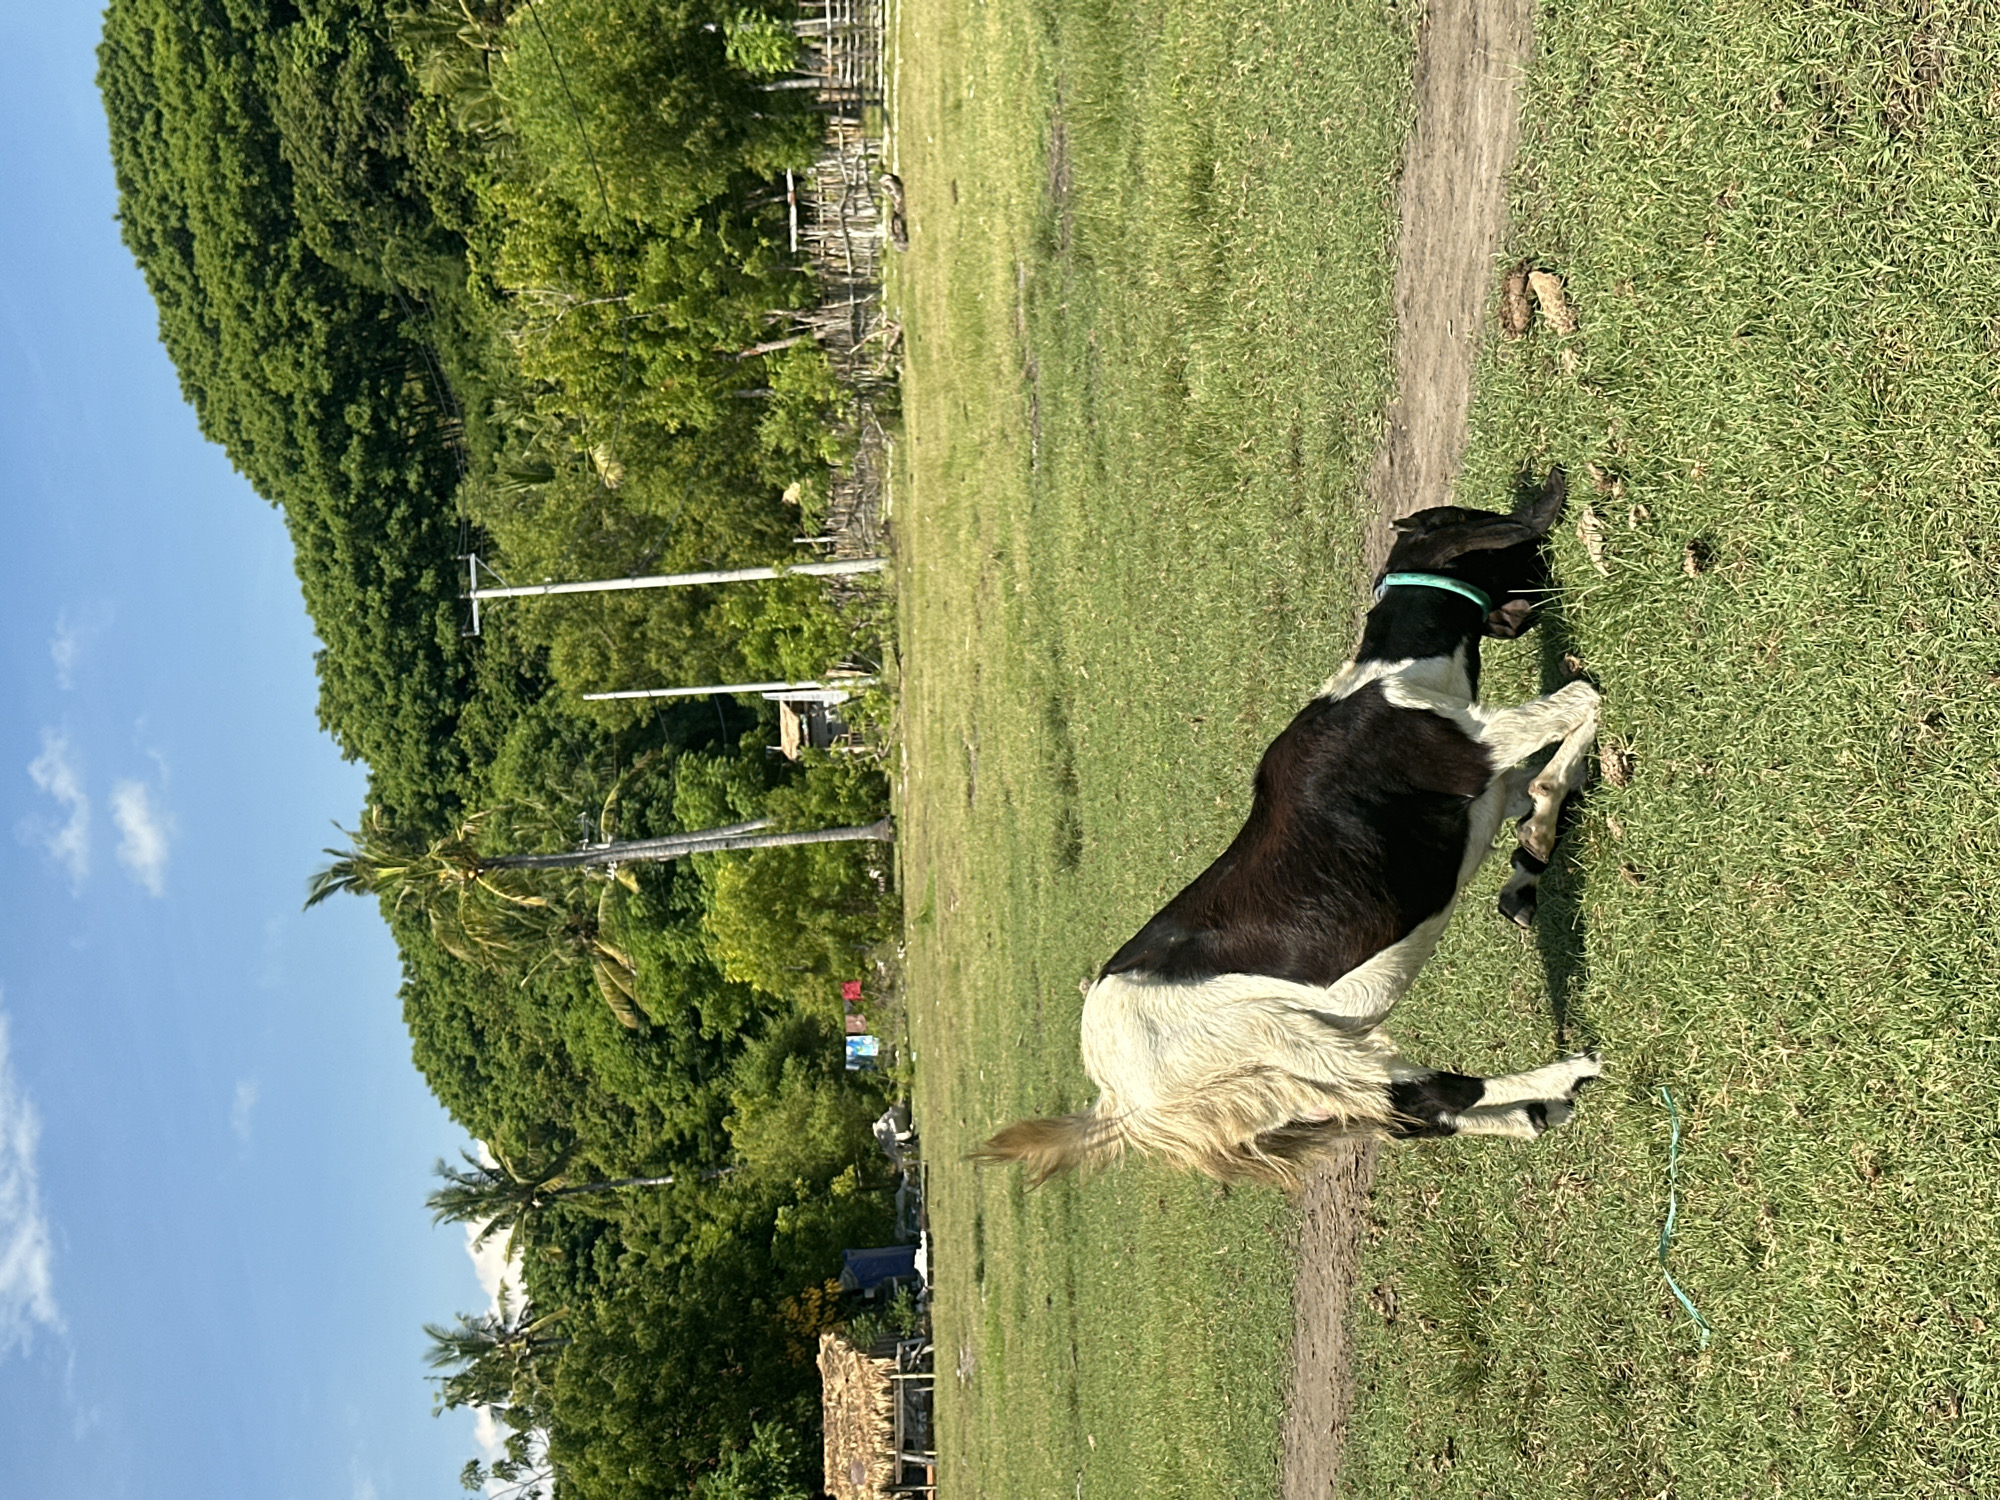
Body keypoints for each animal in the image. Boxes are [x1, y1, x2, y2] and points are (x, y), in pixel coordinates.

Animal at [977, 471, 1602, 1187]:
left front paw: (1529, 861)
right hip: (1292, 1046)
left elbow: (1543, 780)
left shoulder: (1486, 795)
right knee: (1422, 1092)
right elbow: (1583, 698)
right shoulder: (1474, 752)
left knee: (1414, 1112)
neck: (1390, 678)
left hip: (1288, 1087)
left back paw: (1533, 1113)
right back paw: (1566, 1075)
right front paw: (1540, 832)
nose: (1556, 576)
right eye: (1508, 540)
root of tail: (1118, 1099)